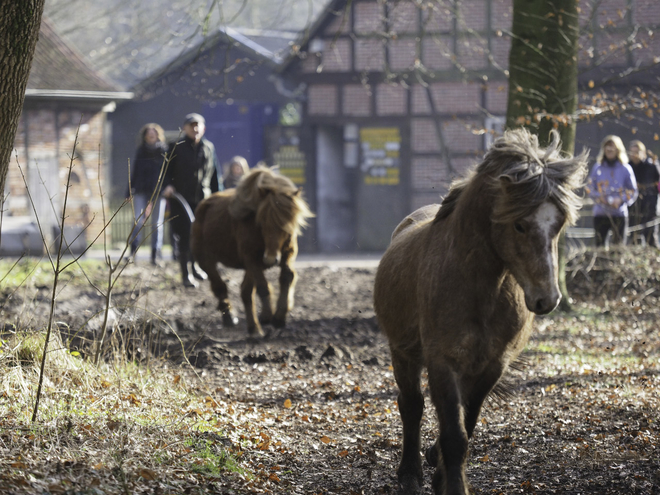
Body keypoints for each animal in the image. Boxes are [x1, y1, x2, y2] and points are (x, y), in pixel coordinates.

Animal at [192, 168, 314, 338]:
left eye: (286, 225)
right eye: (262, 222)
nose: (270, 259)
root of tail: (202, 206)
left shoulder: (287, 253)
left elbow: (287, 276)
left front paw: (279, 317)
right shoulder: (251, 258)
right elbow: (263, 286)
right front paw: (268, 316)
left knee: (245, 292)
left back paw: (254, 328)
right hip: (206, 260)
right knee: (220, 287)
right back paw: (230, 317)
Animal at [374, 130, 584, 495]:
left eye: (558, 224)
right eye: (519, 225)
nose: (547, 299)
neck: (478, 287)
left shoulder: (492, 364)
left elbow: (466, 424)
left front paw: (441, 474)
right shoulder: (442, 362)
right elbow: (454, 435)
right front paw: (449, 483)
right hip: (403, 353)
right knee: (411, 406)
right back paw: (410, 474)